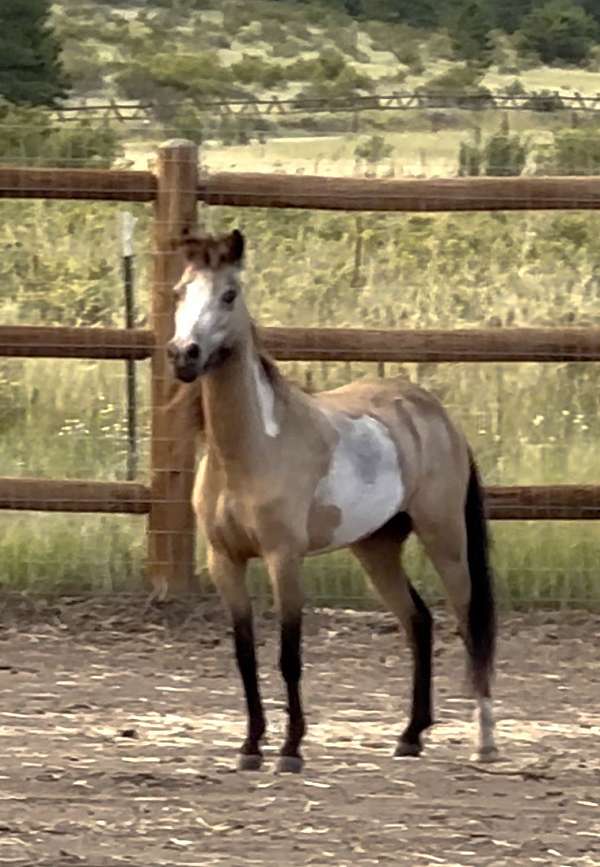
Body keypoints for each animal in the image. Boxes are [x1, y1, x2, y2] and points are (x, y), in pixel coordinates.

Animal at [166, 229, 498, 773]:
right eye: (179, 292)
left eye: (229, 295)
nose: (184, 355)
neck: (252, 449)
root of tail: (435, 414)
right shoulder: (224, 561)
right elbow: (244, 654)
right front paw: (250, 747)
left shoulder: (284, 559)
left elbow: (288, 654)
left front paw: (291, 750)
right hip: (376, 547)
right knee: (418, 622)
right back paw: (410, 735)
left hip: (445, 538)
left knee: (469, 622)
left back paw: (484, 741)